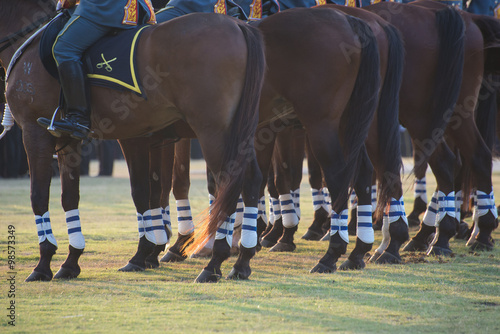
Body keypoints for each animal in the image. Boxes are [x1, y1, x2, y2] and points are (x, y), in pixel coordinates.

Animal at [1, 0, 268, 282]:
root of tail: (237, 26)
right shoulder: (73, 141)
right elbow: (73, 197)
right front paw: (72, 261)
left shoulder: (35, 132)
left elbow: (39, 195)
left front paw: (43, 264)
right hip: (236, 135)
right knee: (250, 181)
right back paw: (241, 260)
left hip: (213, 133)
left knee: (228, 184)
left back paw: (214, 262)